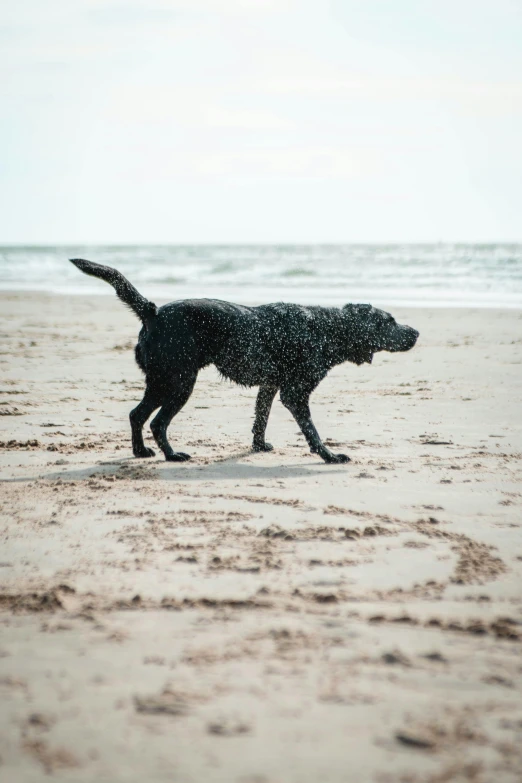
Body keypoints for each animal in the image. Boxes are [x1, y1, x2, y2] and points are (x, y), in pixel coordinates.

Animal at [70, 260, 418, 462]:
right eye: (389, 320)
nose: (415, 332)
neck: (325, 328)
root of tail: (153, 311)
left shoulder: (270, 386)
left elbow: (260, 420)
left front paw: (259, 447)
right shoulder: (295, 393)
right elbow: (312, 431)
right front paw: (329, 455)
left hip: (160, 381)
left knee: (136, 415)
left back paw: (141, 452)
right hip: (179, 383)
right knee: (157, 422)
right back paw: (171, 455)